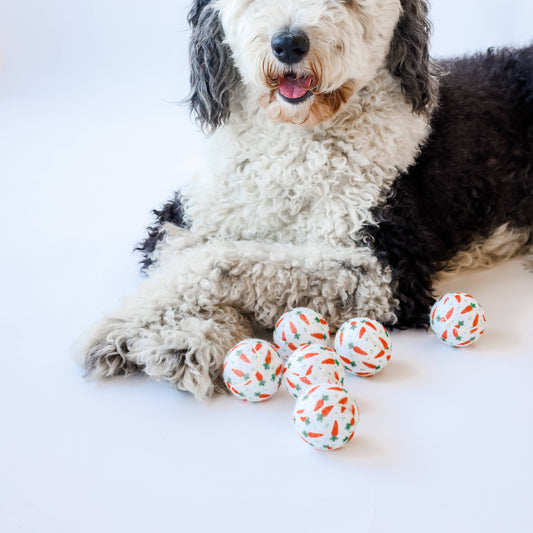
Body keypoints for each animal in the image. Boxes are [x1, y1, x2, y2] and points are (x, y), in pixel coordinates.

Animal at [75, 0, 532, 396]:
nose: (289, 44)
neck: (297, 141)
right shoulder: (183, 217)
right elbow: (181, 258)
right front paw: (191, 337)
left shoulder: (387, 272)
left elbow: (222, 261)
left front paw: (123, 324)